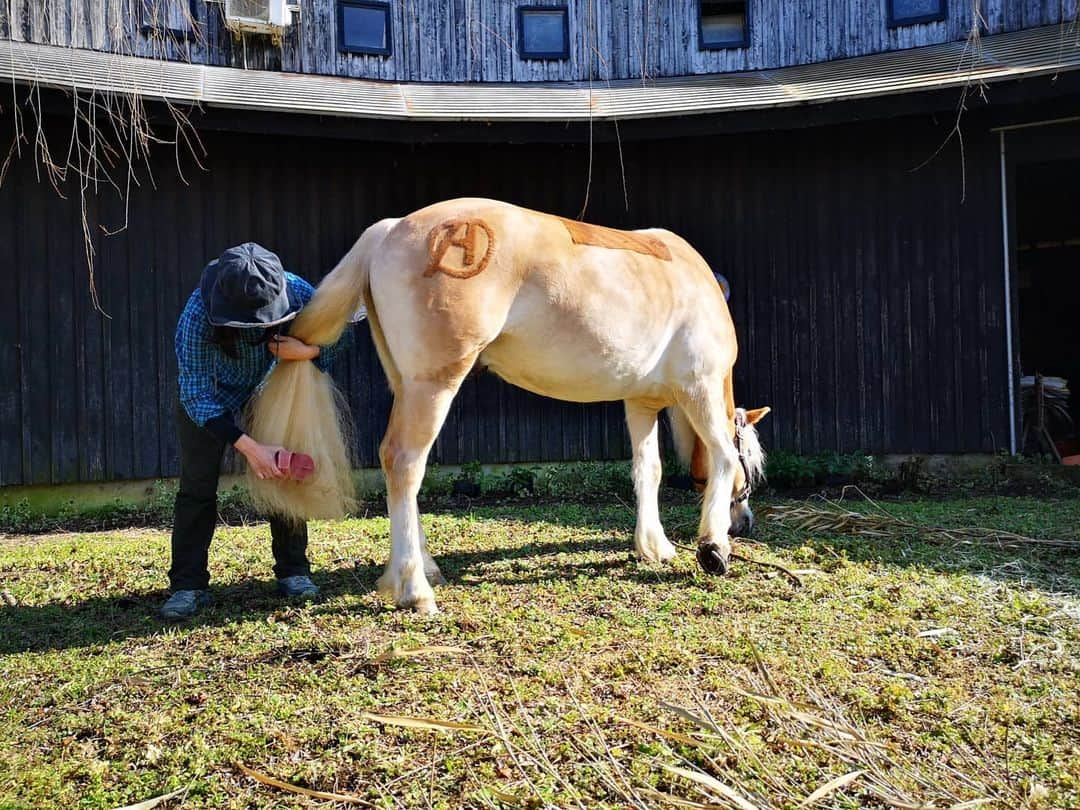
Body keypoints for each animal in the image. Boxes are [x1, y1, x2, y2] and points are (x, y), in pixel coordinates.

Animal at [247, 198, 768, 613]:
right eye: (752, 461)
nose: (744, 523)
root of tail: (391, 231)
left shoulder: (640, 403)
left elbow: (649, 470)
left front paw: (654, 546)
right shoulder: (700, 387)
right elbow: (720, 456)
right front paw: (713, 547)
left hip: (408, 385)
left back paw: (424, 568)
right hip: (433, 386)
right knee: (404, 462)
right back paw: (414, 589)